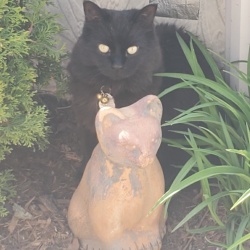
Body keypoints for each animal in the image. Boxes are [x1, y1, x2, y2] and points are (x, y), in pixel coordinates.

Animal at [68, 0, 213, 184]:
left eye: (132, 49)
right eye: (103, 48)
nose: (117, 66)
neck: (113, 90)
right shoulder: (86, 124)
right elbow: (89, 153)